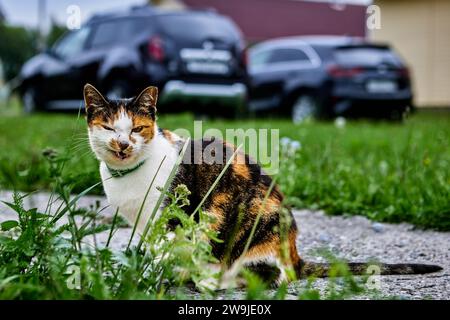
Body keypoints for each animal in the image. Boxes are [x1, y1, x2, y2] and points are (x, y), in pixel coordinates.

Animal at [84, 83, 442, 284]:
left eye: (137, 129)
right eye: (108, 128)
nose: (122, 145)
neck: (128, 176)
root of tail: (295, 253)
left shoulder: (172, 217)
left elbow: (166, 249)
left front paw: (156, 276)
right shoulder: (144, 225)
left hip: (252, 222)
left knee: (270, 276)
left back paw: (212, 280)